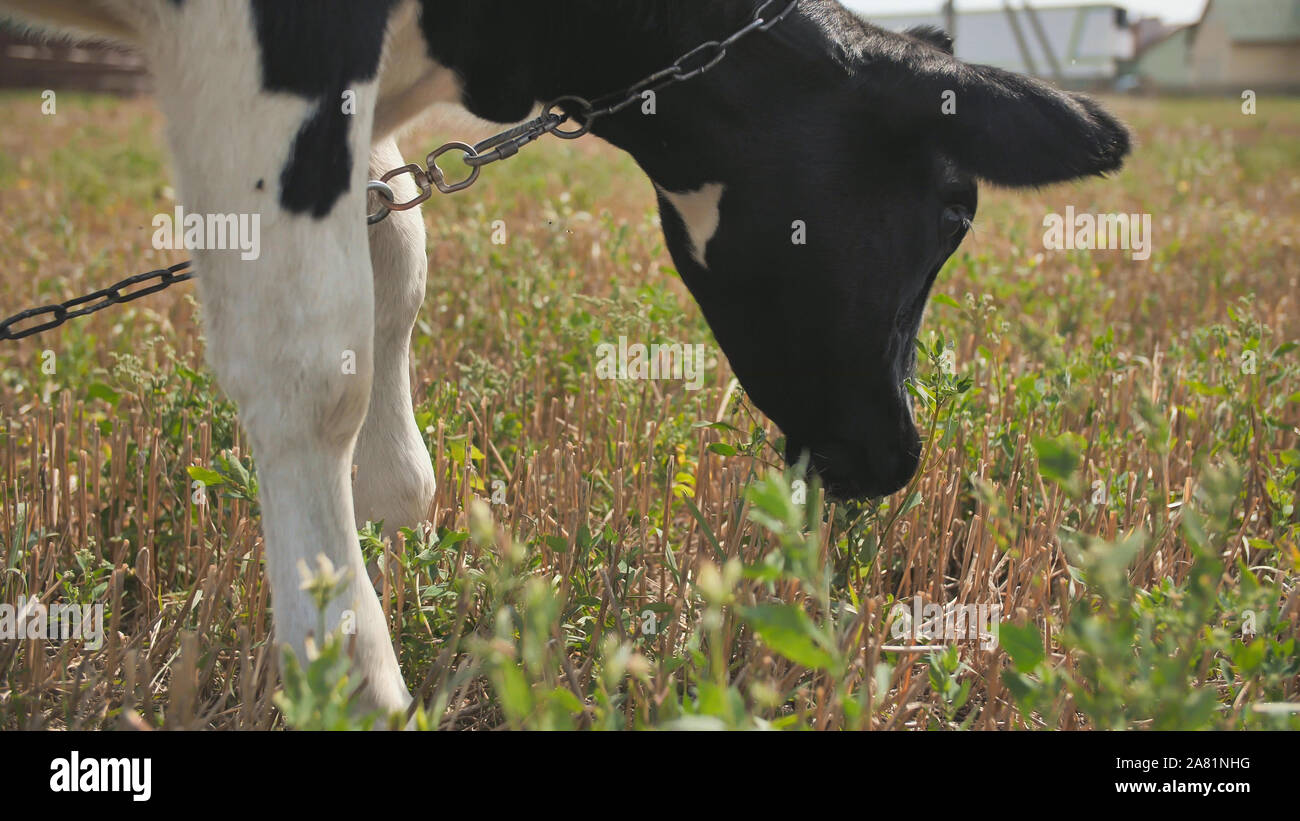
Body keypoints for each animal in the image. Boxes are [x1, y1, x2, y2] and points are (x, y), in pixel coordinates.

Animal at [0, 0, 1130, 717]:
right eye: (954, 209)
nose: (895, 454)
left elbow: (395, 251)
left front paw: (396, 520)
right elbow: (312, 353)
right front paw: (346, 671)